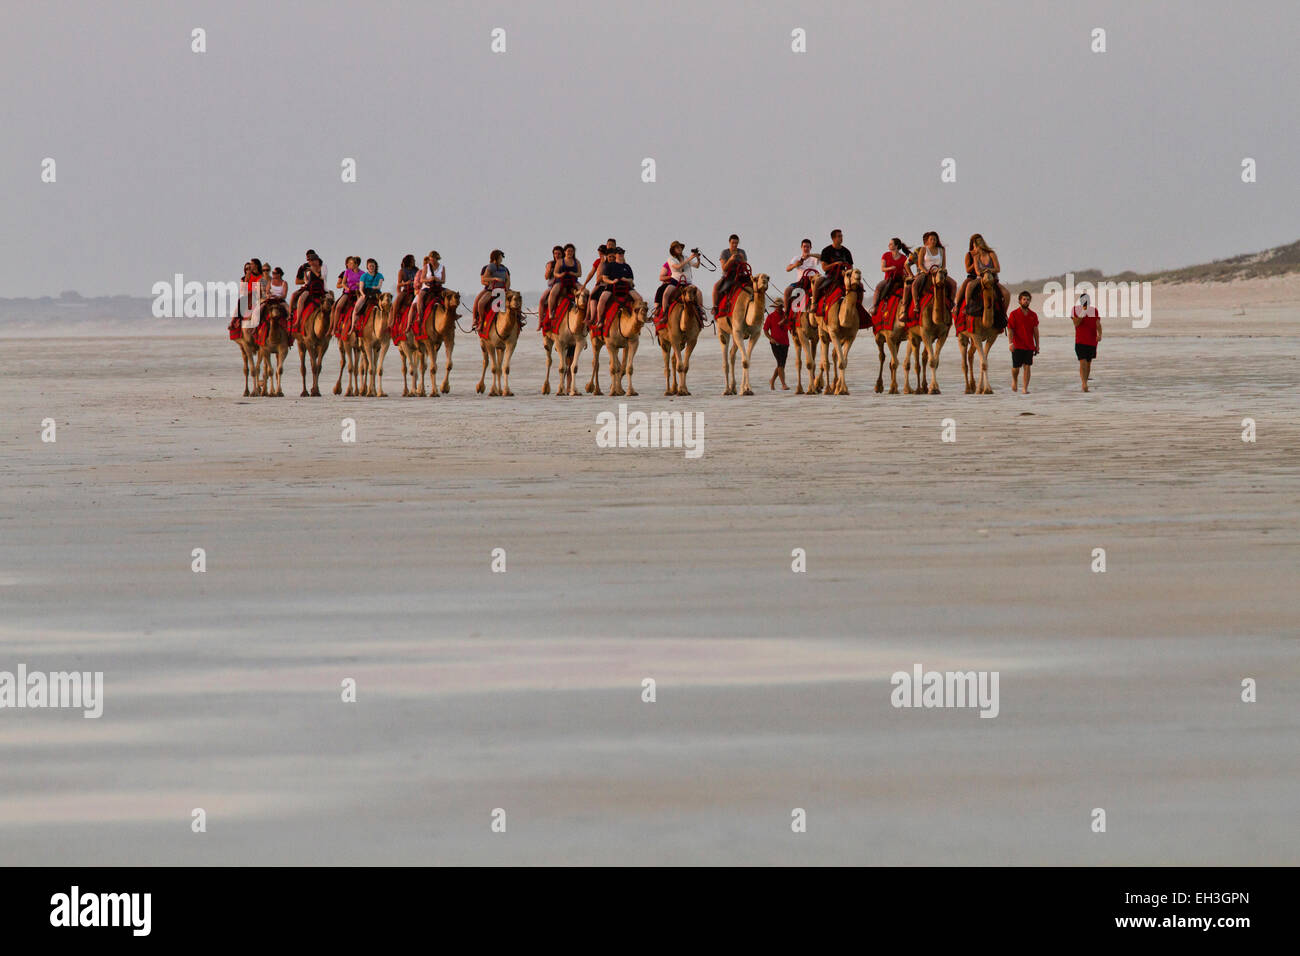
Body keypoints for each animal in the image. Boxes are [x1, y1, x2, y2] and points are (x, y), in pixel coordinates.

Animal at [821, 267, 863, 395]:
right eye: (848, 273)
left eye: (860, 272)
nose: (857, 273)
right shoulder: (833, 332)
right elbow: (841, 361)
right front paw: (840, 389)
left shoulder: (851, 336)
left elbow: (844, 361)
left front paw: (842, 389)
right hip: (823, 331)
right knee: (825, 361)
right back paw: (827, 389)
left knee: (834, 355)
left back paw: (834, 385)